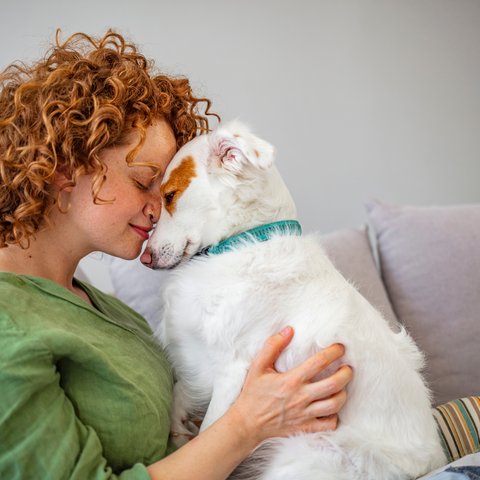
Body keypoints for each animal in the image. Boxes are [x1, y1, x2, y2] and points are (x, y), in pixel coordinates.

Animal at [142, 122, 446, 478]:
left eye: (169, 196)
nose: (145, 258)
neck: (244, 243)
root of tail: (431, 464)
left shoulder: (232, 370)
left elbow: (210, 433)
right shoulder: (197, 357)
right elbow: (180, 392)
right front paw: (178, 429)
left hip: (307, 453)